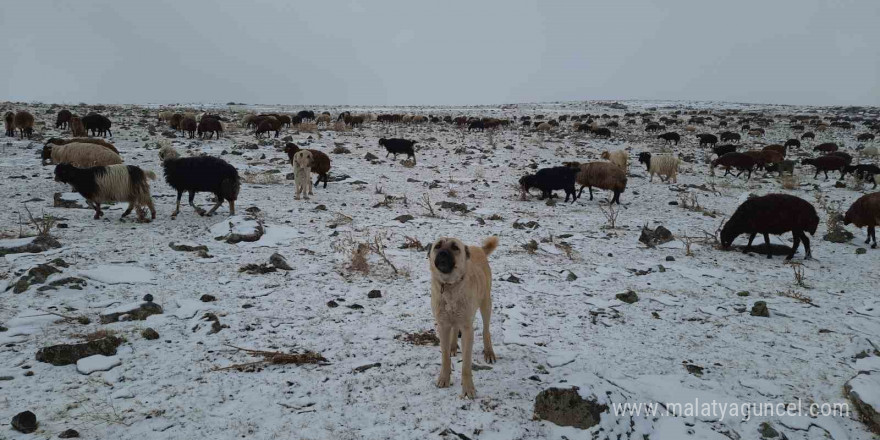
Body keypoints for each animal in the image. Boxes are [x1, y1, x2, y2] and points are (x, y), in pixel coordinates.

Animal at [428, 237, 498, 398]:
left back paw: (489, 352)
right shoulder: (442, 325)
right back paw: (453, 346)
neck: (449, 286)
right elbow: (445, 357)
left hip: (486, 303)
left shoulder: (467, 328)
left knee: (486, 330)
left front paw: (468, 389)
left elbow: (466, 364)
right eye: (438, 246)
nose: (443, 253)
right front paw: (444, 378)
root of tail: (478, 248)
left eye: (455, 247)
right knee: (455, 327)